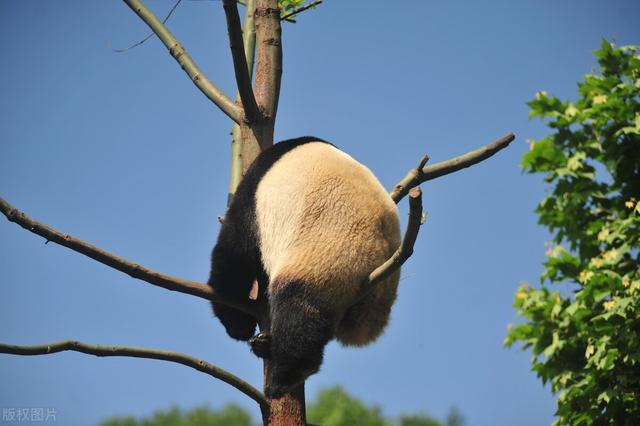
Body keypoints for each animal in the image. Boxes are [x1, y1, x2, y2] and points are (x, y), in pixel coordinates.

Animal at [209, 137, 400, 400]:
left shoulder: (252, 197)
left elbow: (235, 256)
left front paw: (238, 324)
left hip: (327, 260)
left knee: (298, 309)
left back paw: (284, 376)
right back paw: (267, 348)